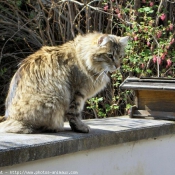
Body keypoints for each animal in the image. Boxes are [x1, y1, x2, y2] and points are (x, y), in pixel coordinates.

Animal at [0, 32, 129, 134]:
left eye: (120, 56)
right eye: (110, 55)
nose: (117, 66)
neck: (82, 58)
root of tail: (10, 118)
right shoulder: (78, 92)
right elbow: (75, 113)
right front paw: (80, 128)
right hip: (52, 99)